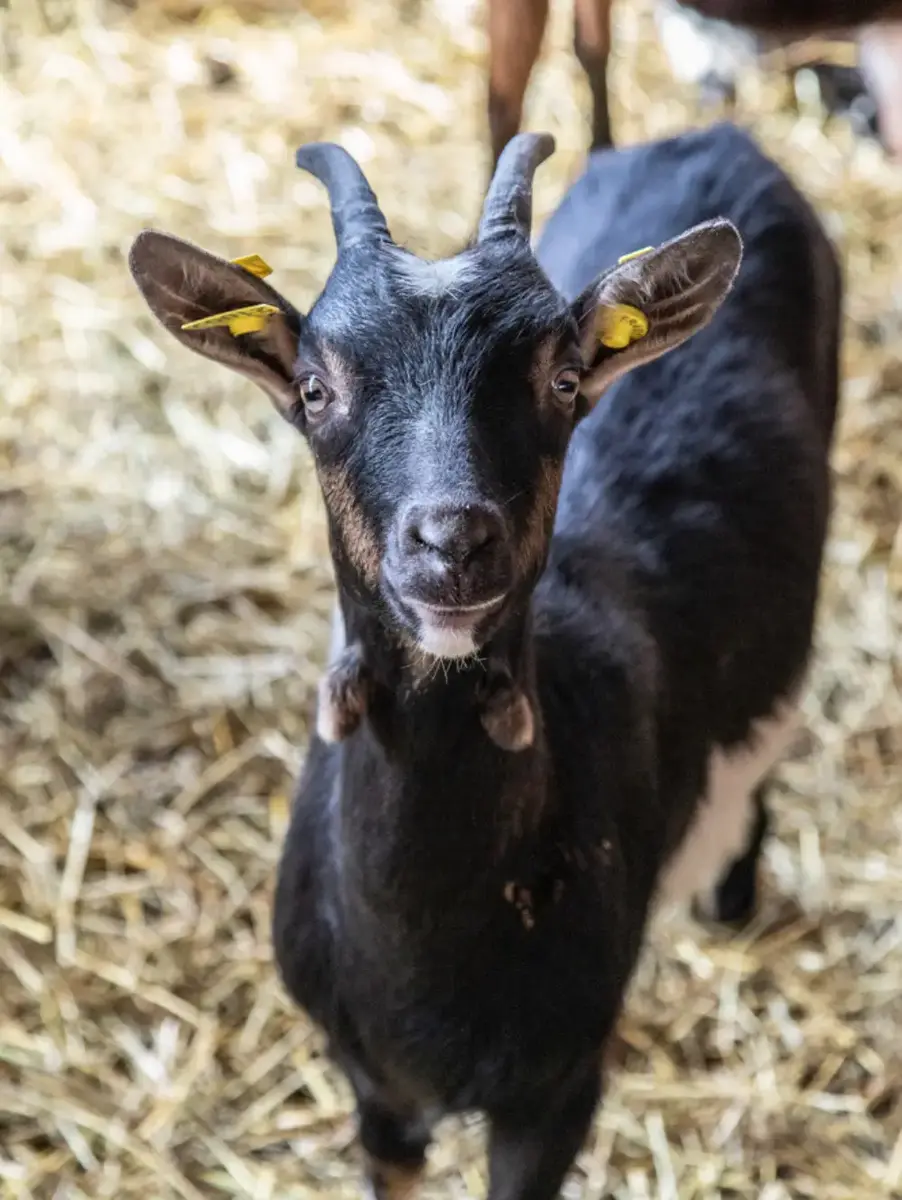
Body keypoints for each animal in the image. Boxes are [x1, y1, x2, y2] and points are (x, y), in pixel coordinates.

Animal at [128, 119, 840, 1200]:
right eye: (314, 388)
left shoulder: (557, 1092)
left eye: (562, 377)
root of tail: (713, 132)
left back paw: (732, 905)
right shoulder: (374, 1092)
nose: (452, 541)